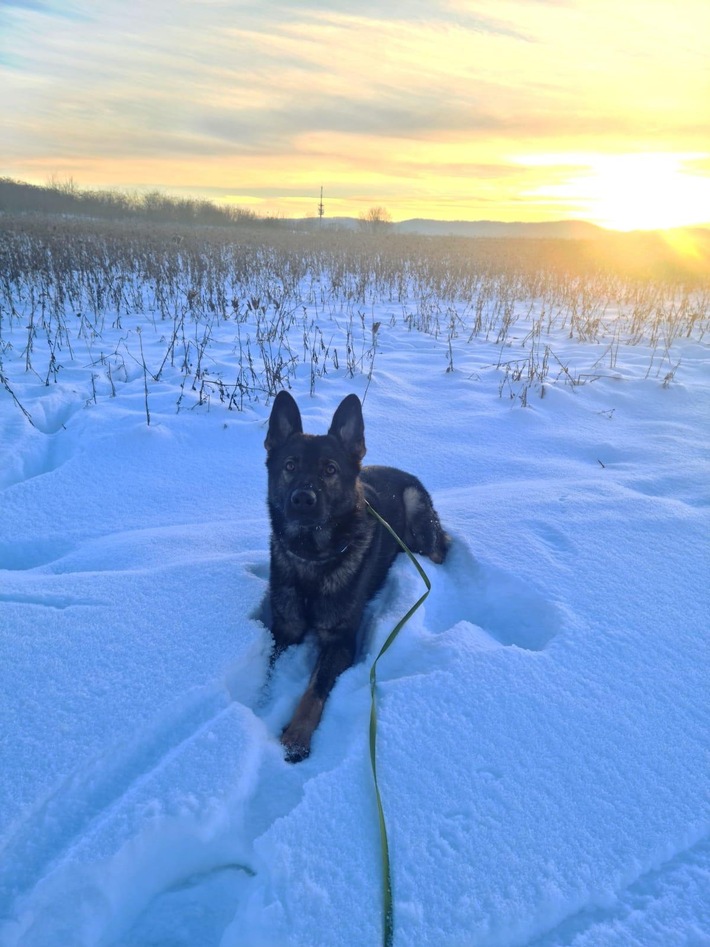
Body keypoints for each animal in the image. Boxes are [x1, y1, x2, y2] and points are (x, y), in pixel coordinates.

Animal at [262, 392, 450, 764]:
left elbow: (314, 692)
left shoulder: (340, 642)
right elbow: (271, 672)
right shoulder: (285, 629)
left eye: (330, 469)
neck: (312, 558)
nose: (302, 499)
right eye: (290, 466)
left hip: (417, 512)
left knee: (438, 550)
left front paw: (297, 735)